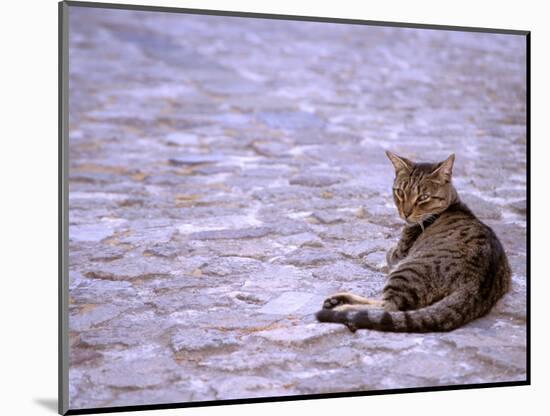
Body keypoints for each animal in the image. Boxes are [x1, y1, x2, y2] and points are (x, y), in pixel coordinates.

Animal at [316, 151, 516, 334]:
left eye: (423, 197)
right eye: (400, 192)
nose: (405, 212)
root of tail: (474, 286)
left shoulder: (398, 255)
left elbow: (389, 253)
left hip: (406, 271)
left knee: (388, 308)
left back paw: (342, 308)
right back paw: (337, 300)